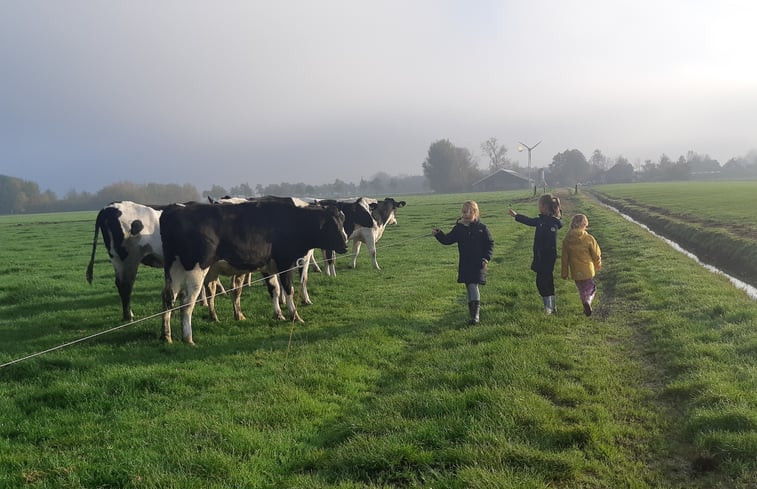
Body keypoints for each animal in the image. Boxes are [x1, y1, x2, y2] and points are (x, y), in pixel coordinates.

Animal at [162, 198, 348, 344]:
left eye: (342, 220)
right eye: (332, 225)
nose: (345, 245)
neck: (291, 221)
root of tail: (174, 210)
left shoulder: (267, 266)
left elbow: (274, 289)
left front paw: (278, 314)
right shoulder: (285, 263)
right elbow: (288, 289)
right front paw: (295, 316)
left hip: (174, 269)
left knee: (168, 297)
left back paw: (166, 336)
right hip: (196, 269)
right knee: (187, 302)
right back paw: (188, 338)